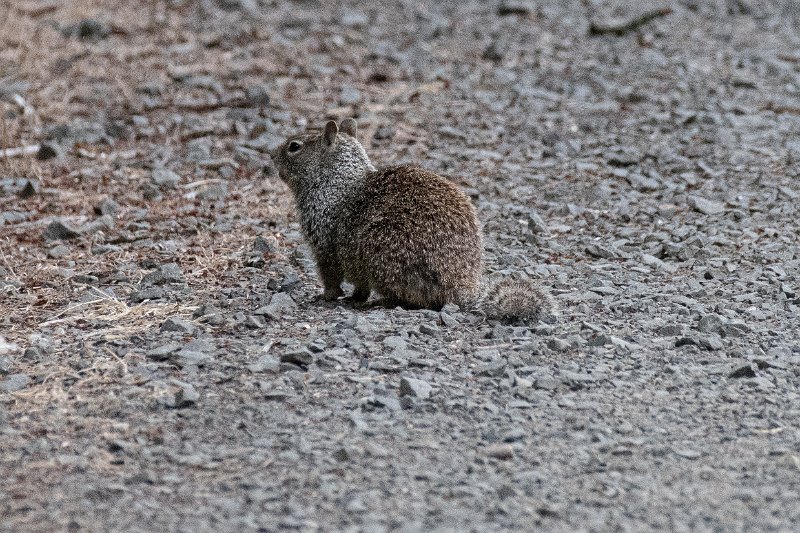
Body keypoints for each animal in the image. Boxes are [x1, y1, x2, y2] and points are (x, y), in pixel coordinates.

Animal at [272, 118, 552, 322]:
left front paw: (326, 297)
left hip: (382, 254)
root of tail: (460, 286)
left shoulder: (323, 243)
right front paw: (354, 297)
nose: (271, 156)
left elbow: (330, 276)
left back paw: (384, 301)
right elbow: (359, 286)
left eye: (294, 146)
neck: (334, 180)